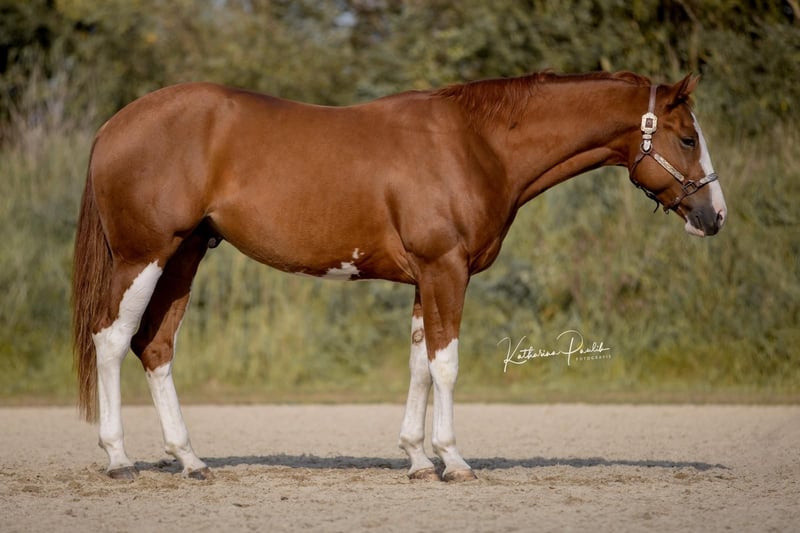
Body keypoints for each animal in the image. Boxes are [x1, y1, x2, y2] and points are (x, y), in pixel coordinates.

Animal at [72, 71, 727, 482]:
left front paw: (415, 459)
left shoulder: (425, 279)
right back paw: (118, 459)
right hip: (143, 257)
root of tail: (113, 125)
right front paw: (453, 461)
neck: (475, 144)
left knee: (156, 346)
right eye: (687, 137)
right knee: (112, 339)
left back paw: (189, 460)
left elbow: (418, 363)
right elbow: (446, 365)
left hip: (185, 256)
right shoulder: (446, 270)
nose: (714, 216)